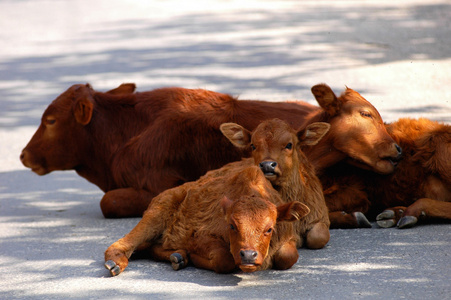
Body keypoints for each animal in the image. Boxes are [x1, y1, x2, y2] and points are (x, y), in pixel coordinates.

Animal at [105, 165, 310, 276]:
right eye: (232, 225)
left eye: (269, 229)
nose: (248, 255)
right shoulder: (199, 237)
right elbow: (223, 260)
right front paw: (196, 258)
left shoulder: (289, 237)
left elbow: (288, 257)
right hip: (156, 213)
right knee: (124, 243)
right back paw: (115, 263)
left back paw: (178, 257)